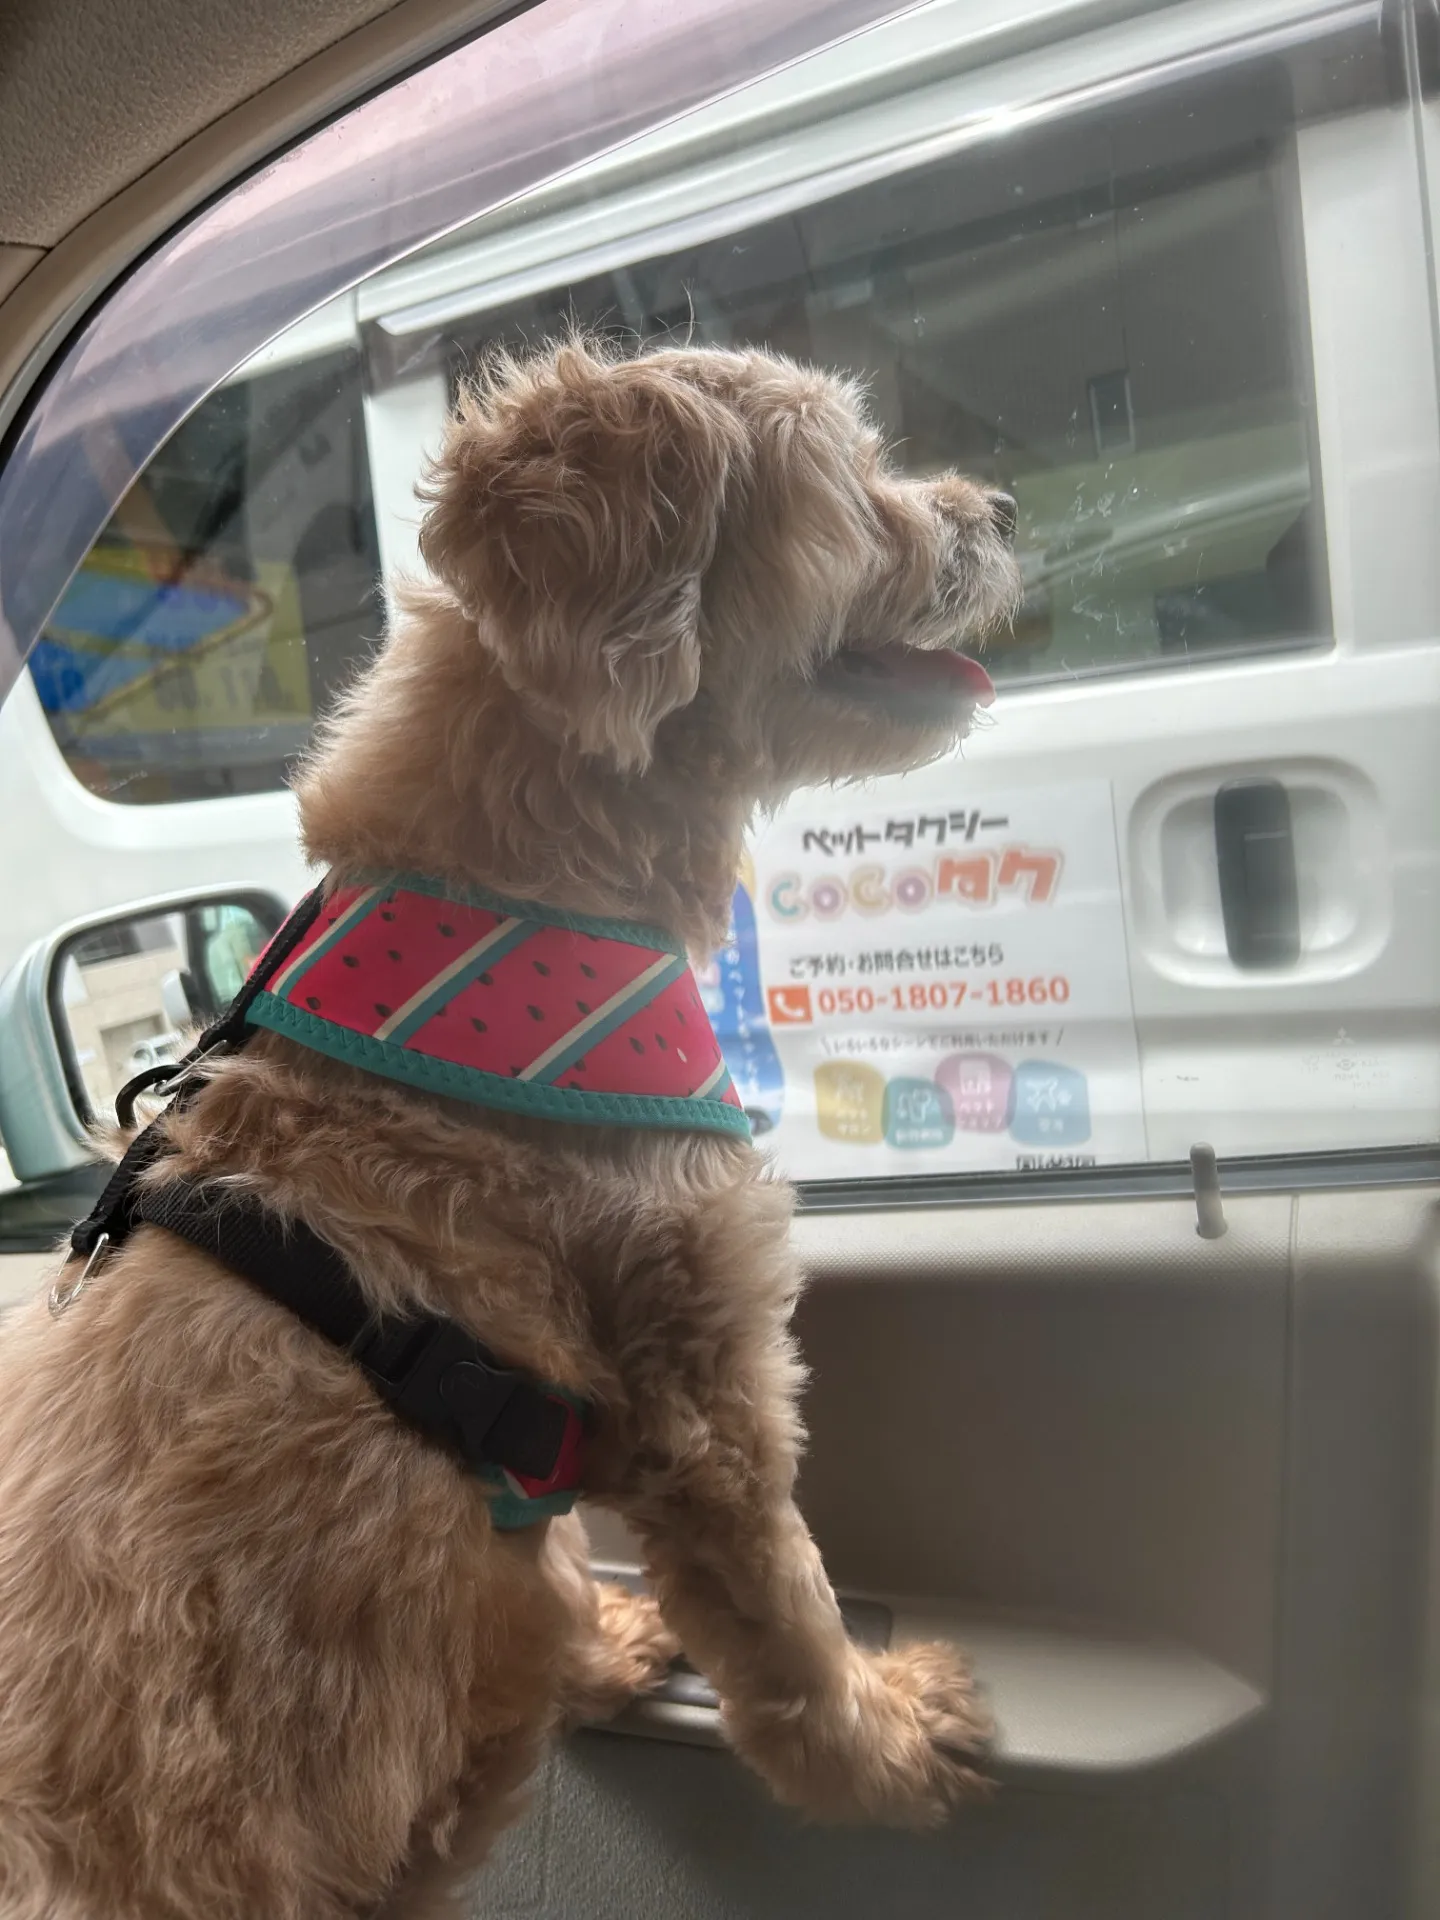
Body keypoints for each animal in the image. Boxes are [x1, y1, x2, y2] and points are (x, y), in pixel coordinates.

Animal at [0, 339, 1020, 1919]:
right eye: (851, 473)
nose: (1007, 507)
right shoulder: (701, 1400)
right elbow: (787, 1629)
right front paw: (890, 1749)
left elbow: (556, 1587)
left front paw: (607, 1655)